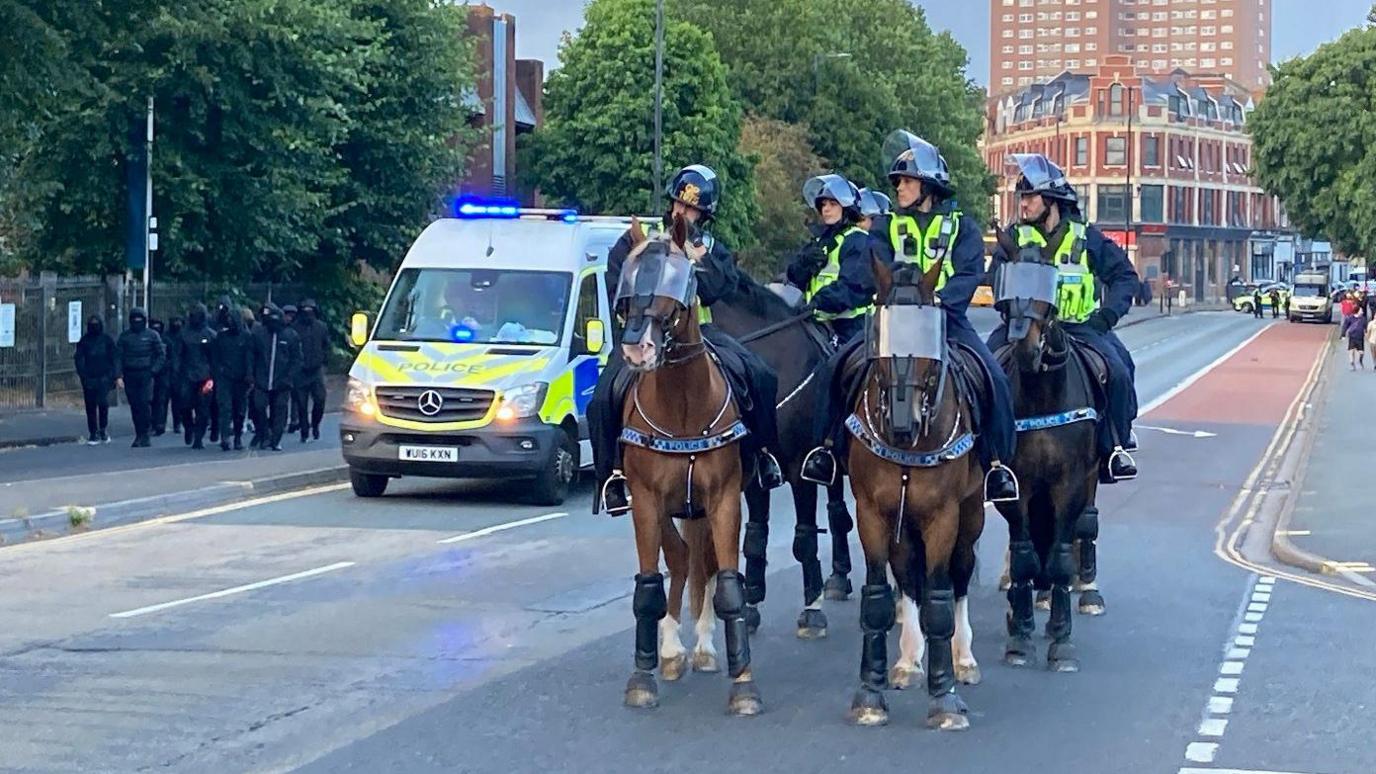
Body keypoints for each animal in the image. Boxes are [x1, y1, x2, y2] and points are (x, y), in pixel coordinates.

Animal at [616, 213, 765, 716]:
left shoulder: (723, 499)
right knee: (682, 560)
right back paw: (671, 650)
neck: (681, 405)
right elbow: (650, 583)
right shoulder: (646, 500)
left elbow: (728, 580)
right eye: (628, 282)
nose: (637, 350)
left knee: (703, 560)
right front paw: (644, 675)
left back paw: (701, 646)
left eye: (679, 279)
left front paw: (743, 683)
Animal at [710, 274, 858, 636]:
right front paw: (749, 607)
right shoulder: (756, 474)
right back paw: (839, 577)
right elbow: (755, 536)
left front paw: (812, 610)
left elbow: (805, 539)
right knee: (838, 513)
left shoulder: (798, 468)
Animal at [842, 254, 985, 727]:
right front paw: (870, 693)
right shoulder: (871, 514)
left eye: (928, 338)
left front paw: (945, 697)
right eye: (881, 337)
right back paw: (907, 659)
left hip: (970, 516)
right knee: (906, 575)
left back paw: (963, 658)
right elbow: (878, 597)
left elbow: (940, 598)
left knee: (959, 575)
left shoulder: (944, 517)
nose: (903, 427)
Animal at [990, 228, 1106, 669]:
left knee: (1084, 526)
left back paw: (1087, 590)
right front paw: (1020, 634)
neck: (1041, 393)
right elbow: (1024, 555)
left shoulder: (1069, 483)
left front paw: (1061, 639)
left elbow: (1059, 556)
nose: (1026, 349)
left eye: (1049, 283)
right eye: (1007, 287)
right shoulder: (1017, 485)